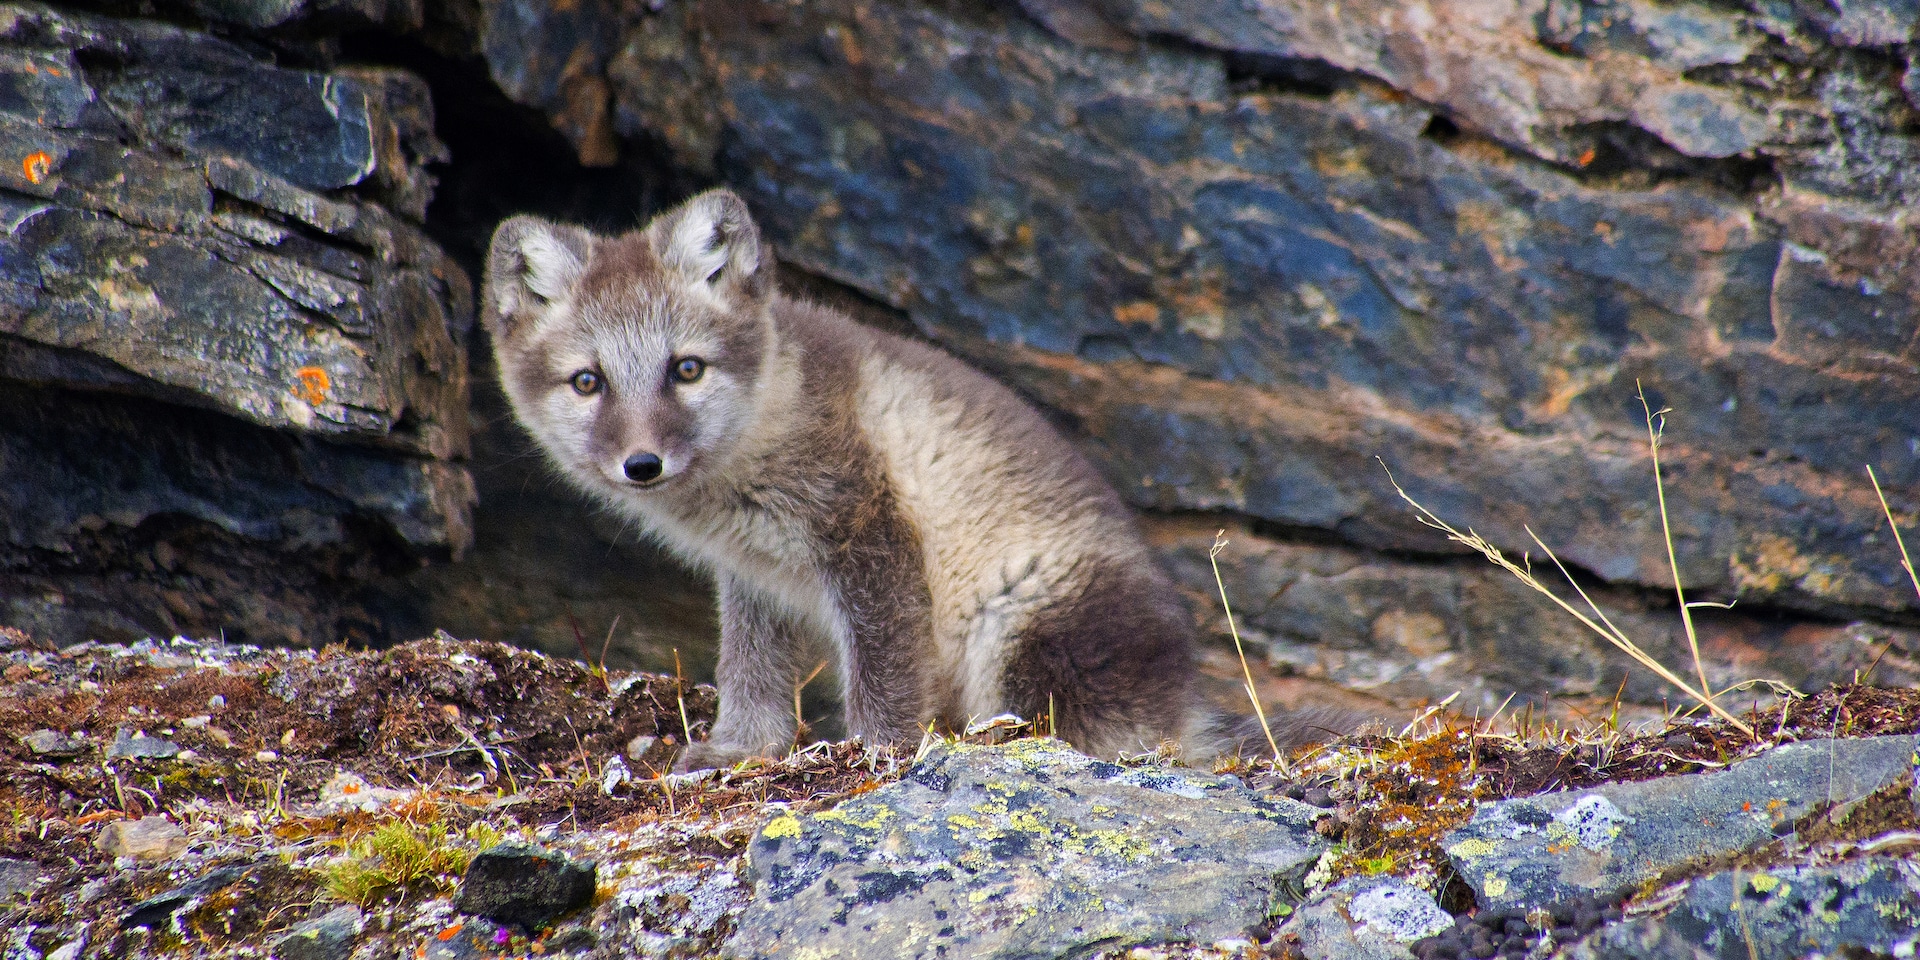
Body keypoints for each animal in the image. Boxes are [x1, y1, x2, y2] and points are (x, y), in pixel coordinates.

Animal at [483, 191, 1320, 768]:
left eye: (685, 369)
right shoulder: (753, 577)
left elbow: (882, 672)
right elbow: (750, 672)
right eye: (587, 382)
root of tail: (1190, 706)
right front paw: (741, 751)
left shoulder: (869, 533)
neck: (772, 415)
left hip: (1020, 627)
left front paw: (878, 753)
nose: (642, 464)